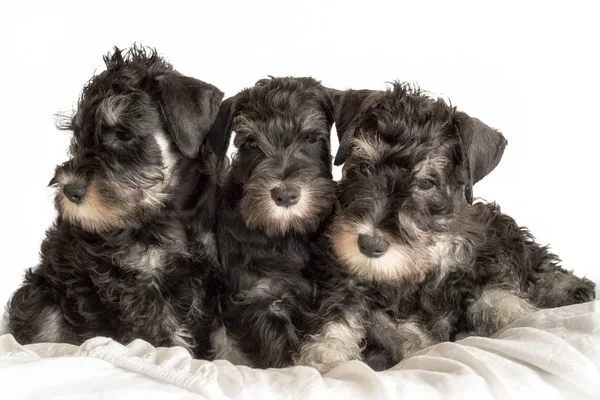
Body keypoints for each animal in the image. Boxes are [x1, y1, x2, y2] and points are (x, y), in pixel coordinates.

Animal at [5, 45, 226, 358]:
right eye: (78, 135)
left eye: (123, 133)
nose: (70, 190)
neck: (169, 212)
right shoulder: (136, 285)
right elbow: (162, 333)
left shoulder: (209, 279)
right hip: (42, 298)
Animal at [210, 76, 338, 368]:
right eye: (251, 143)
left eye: (311, 137)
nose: (285, 194)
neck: (287, 233)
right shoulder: (262, 299)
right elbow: (281, 356)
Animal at [300, 83, 596, 374]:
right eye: (363, 167)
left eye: (427, 182)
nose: (369, 245)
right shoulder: (346, 276)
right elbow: (341, 314)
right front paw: (325, 356)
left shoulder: (481, 258)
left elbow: (494, 294)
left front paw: (517, 315)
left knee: (536, 262)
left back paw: (571, 288)